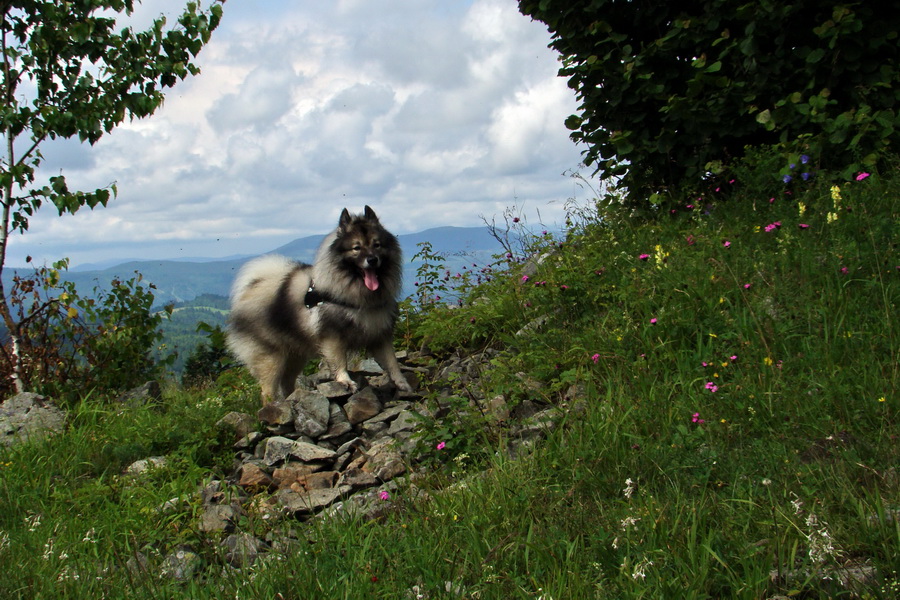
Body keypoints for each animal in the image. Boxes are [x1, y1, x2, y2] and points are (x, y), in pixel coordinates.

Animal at [225, 206, 412, 404]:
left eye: (377, 245)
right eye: (357, 248)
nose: (372, 259)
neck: (358, 294)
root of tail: (252, 288)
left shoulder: (380, 332)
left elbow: (392, 362)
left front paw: (402, 383)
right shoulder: (332, 335)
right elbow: (339, 361)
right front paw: (345, 381)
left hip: (295, 356)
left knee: (286, 382)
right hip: (272, 358)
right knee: (268, 390)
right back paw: (273, 406)